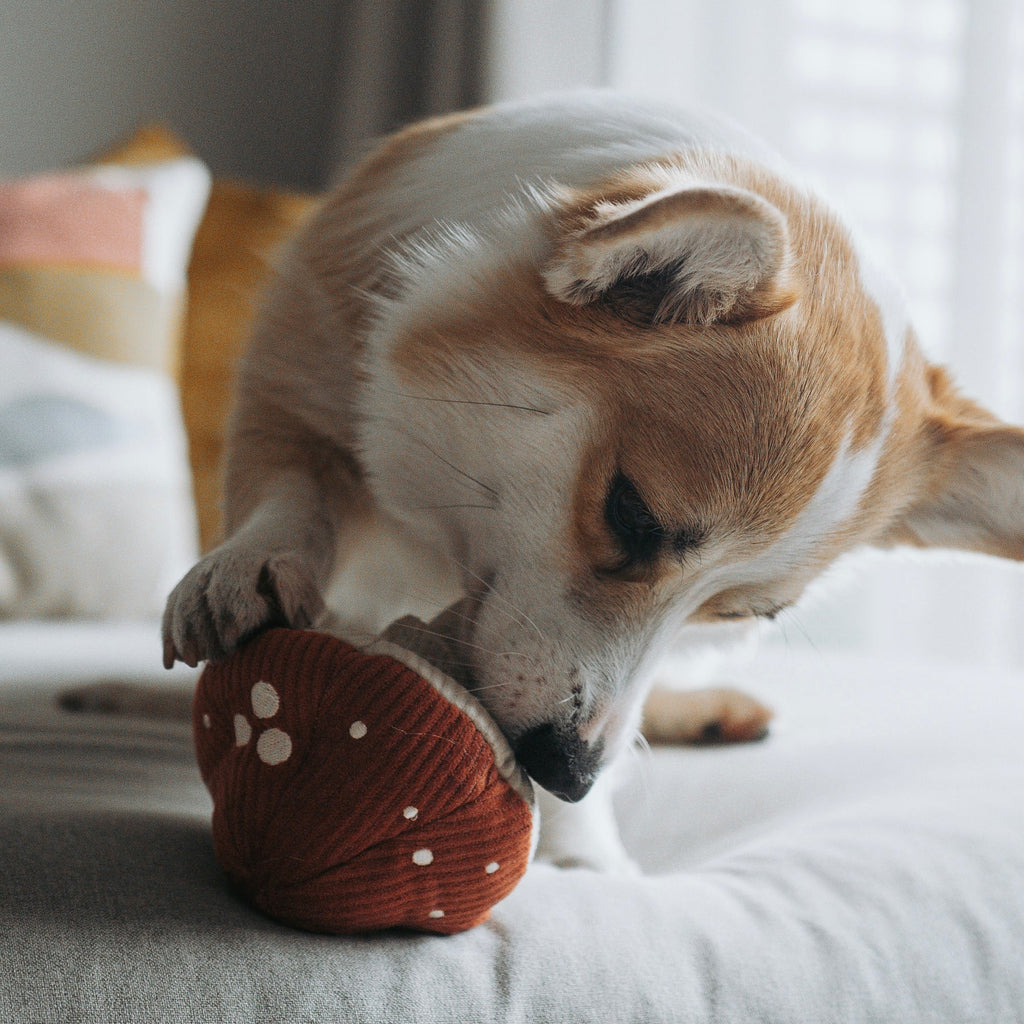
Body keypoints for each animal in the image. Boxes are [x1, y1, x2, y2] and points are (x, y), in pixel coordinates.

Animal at [157, 92, 1024, 868]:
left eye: (739, 614)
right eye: (631, 515)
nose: (566, 773)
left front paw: (582, 856)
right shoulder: (296, 382)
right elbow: (292, 491)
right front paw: (250, 565)